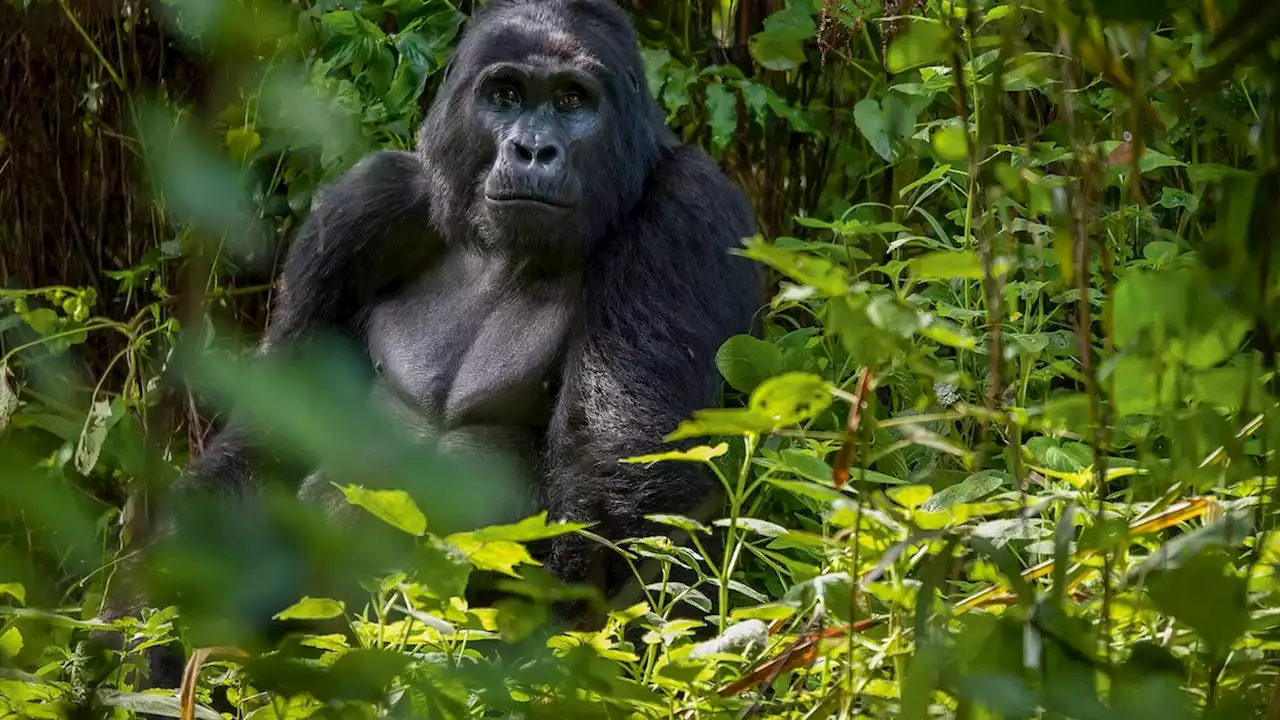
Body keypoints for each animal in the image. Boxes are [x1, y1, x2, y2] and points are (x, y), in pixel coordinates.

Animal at [102, 0, 757, 686]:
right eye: (505, 94)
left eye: (573, 100)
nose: (532, 149)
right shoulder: (366, 203)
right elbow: (270, 440)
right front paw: (143, 630)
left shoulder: (686, 212)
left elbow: (624, 503)